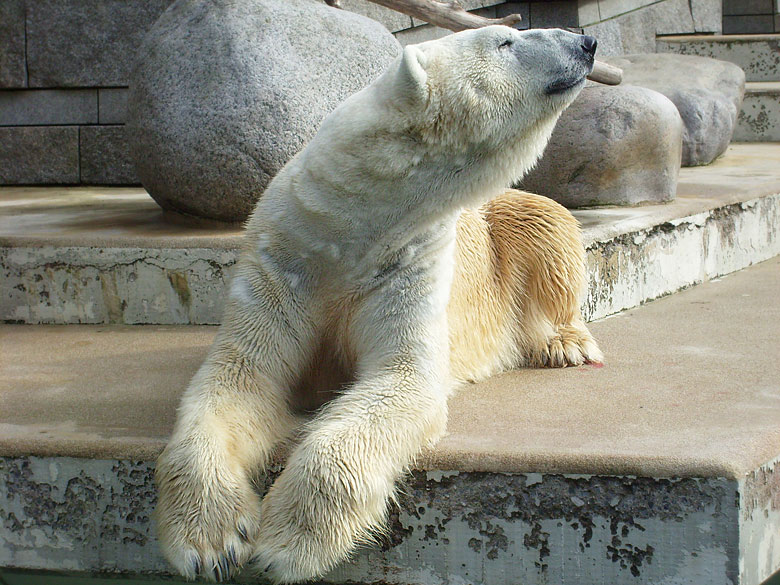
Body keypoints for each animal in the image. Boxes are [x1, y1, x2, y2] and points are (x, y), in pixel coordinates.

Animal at [154, 25, 604, 580]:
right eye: (506, 41)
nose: (586, 42)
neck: (351, 225)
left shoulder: (410, 259)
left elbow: (401, 379)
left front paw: (286, 544)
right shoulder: (283, 259)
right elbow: (238, 378)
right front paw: (210, 543)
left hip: (502, 224)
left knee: (548, 227)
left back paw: (566, 344)